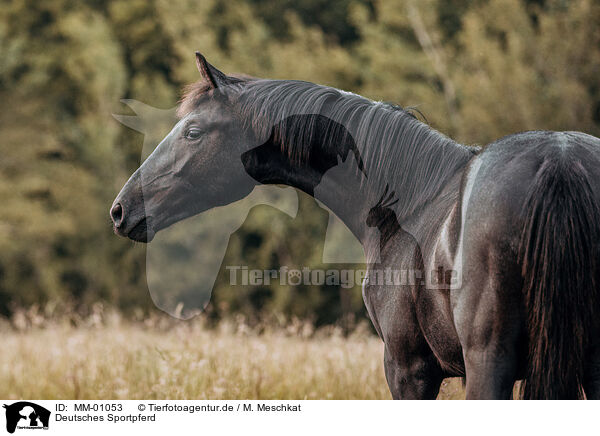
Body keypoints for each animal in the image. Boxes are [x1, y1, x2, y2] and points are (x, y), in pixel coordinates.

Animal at [111, 52, 600, 400]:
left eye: (192, 132)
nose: (121, 209)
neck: (407, 203)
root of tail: (559, 163)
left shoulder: (407, 368)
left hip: (489, 364)